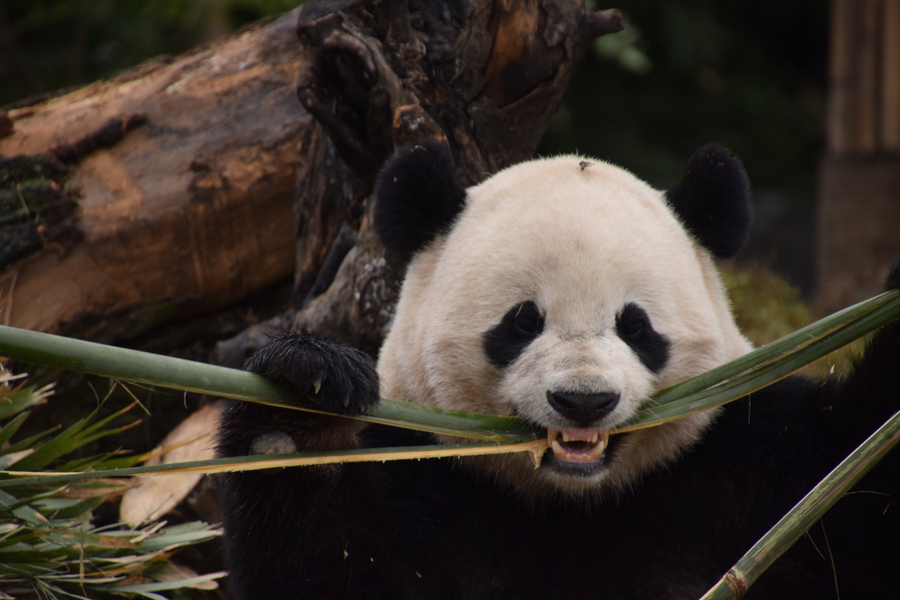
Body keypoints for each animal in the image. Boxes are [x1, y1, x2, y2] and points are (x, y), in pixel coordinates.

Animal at [218, 144, 900, 600]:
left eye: (635, 327)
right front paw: (300, 408)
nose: (583, 401)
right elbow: (325, 572)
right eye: (522, 322)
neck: (573, 501)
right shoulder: (422, 477)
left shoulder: (747, 465)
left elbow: (859, 510)